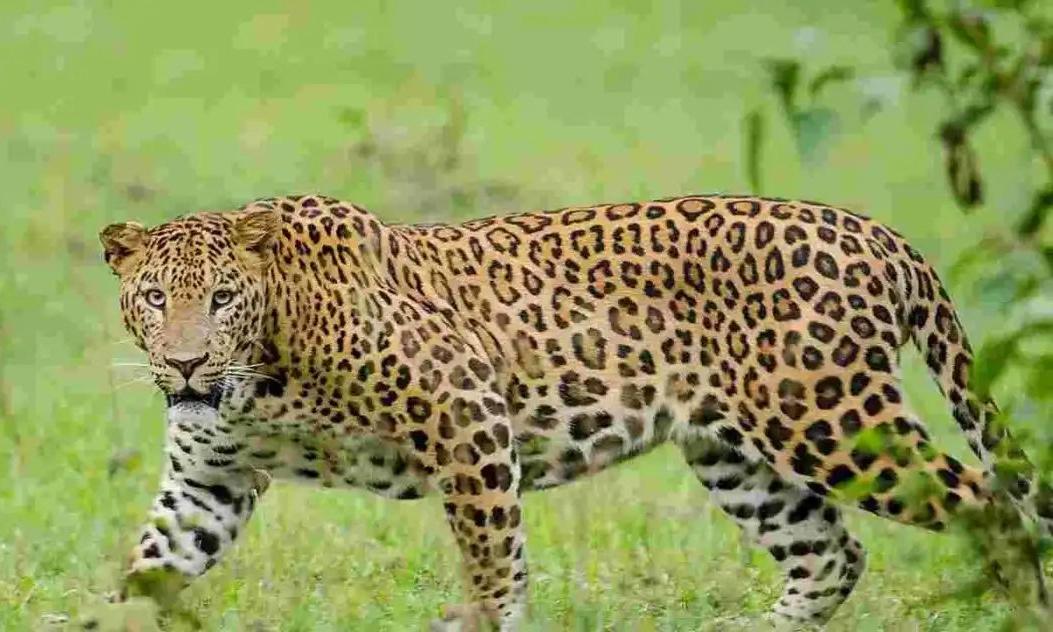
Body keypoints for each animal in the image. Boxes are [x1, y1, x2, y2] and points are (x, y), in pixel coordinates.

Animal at [96, 193, 1052, 630]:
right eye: (154, 297)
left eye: (222, 298)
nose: (185, 362)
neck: (261, 375)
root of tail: (880, 234)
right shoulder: (209, 483)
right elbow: (148, 568)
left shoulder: (466, 410)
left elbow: (492, 555)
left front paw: (483, 619)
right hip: (735, 454)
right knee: (830, 553)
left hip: (829, 419)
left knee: (989, 506)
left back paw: (1016, 614)